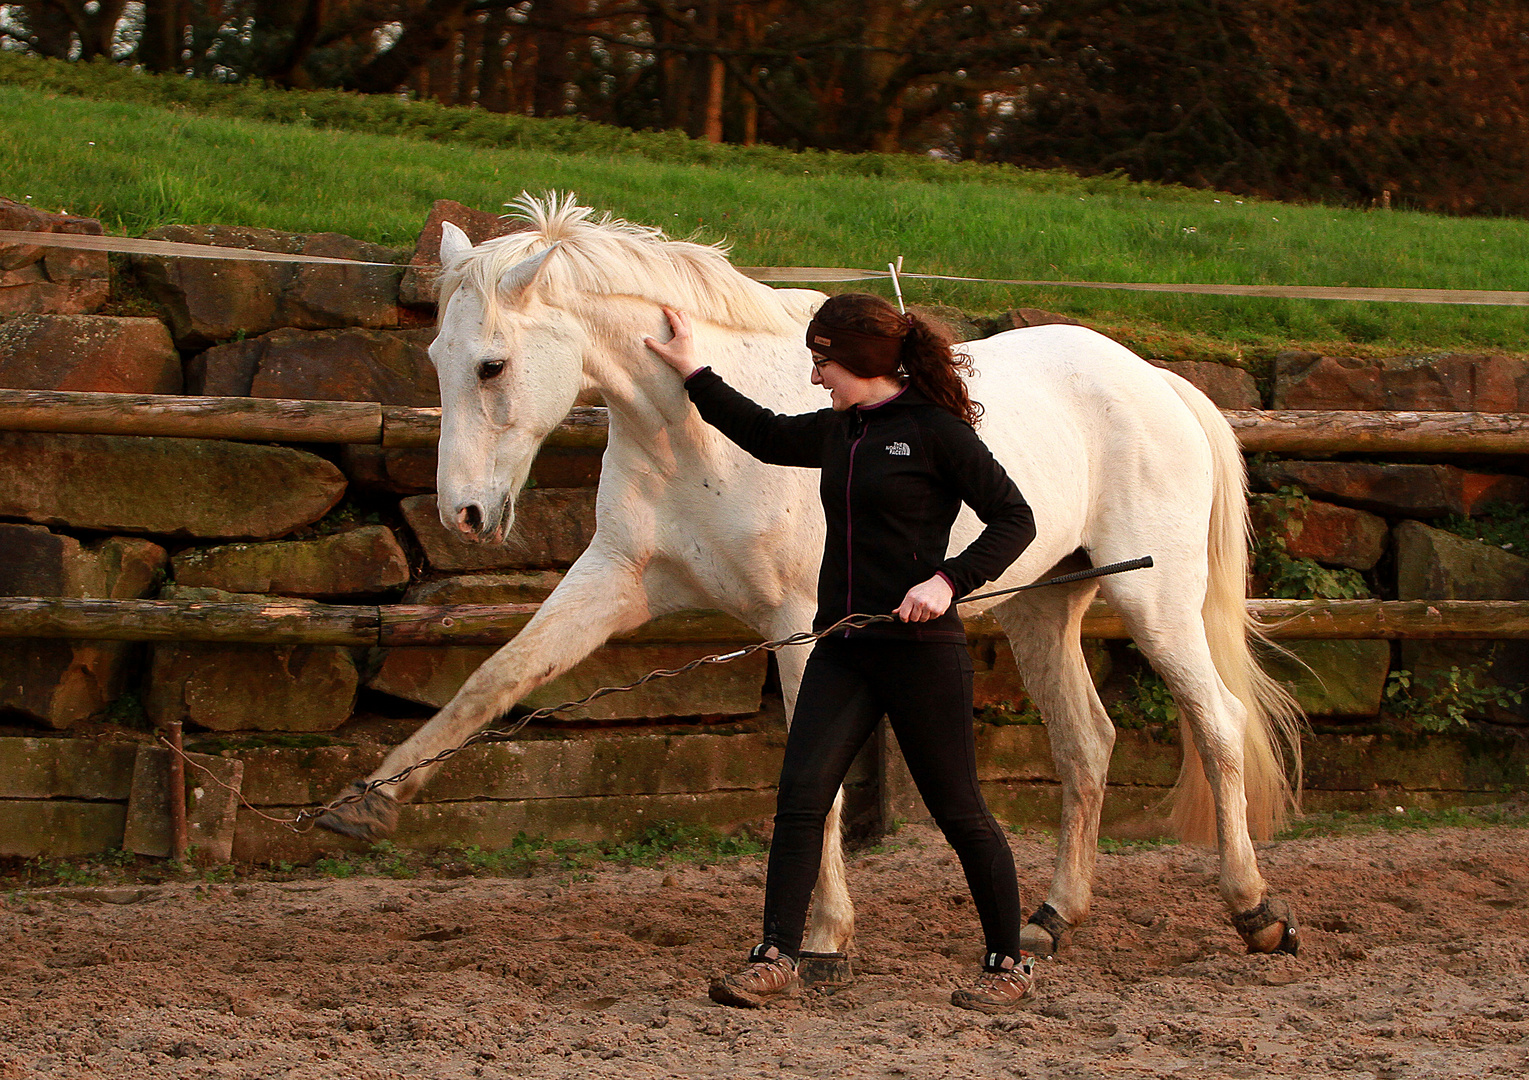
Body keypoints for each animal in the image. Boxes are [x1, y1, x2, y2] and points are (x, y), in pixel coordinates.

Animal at [319, 191, 1302, 960]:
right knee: (1085, 744)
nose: (463, 515)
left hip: (1153, 598)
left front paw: (823, 937)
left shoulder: (803, 623)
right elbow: (495, 679)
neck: (689, 435)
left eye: (492, 364)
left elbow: (812, 764)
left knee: (1216, 723)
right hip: (1041, 608)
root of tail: (1156, 380)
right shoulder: (614, 580)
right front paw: (363, 805)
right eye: (435, 361)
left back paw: (1254, 912)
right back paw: (1051, 918)